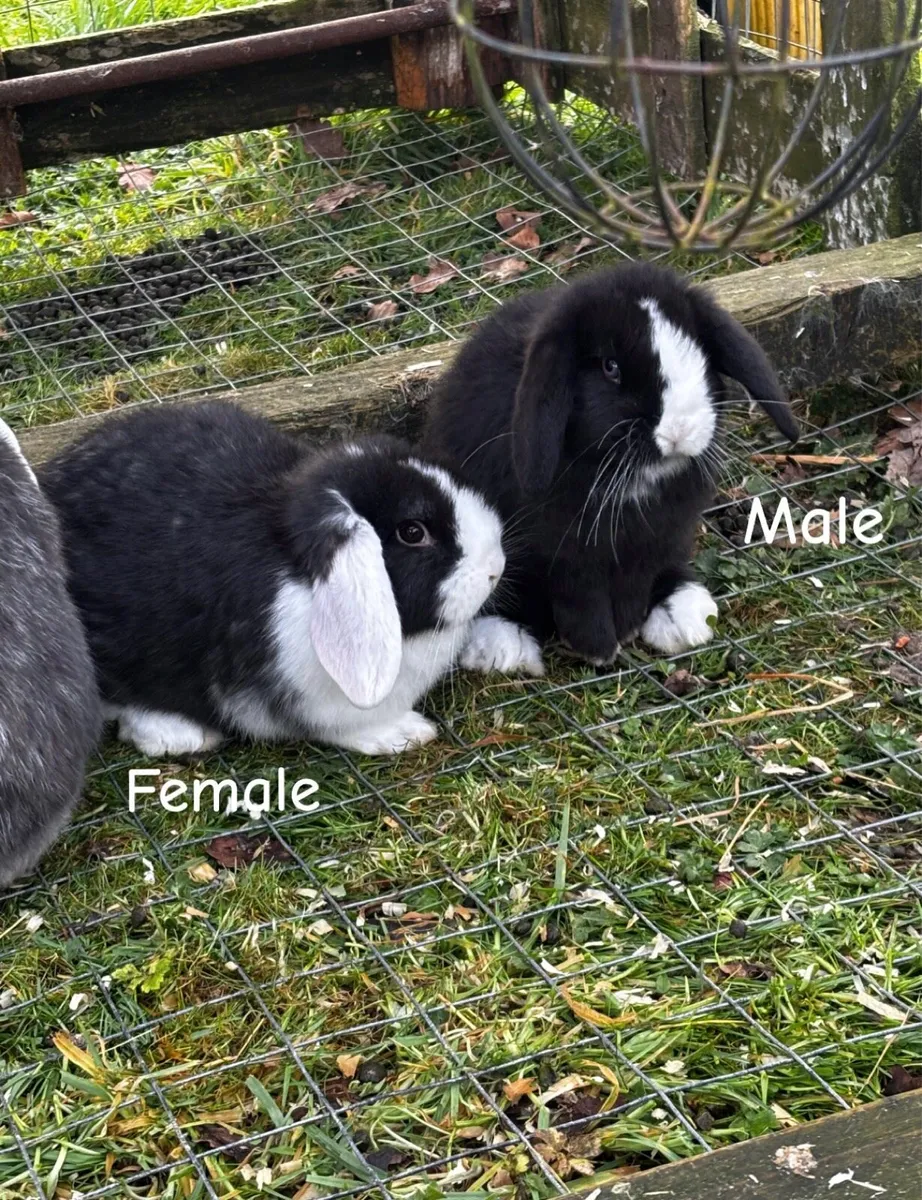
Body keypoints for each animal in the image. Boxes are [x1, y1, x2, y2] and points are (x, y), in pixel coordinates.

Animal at [40, 401, 543, 759]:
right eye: (413, 532)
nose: (496, 566)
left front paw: (509, 649)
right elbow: (343, 725)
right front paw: (403, 733)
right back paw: (178, 734)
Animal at [422, 262, 797, 666]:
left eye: (698, 352)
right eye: (610, 367)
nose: (679, 430)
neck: (632, 478)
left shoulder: (655, 539)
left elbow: (637, 582)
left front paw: (629, 627)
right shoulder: (565, 555)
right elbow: (580, 597)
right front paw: (598, 649)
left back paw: (682, 616)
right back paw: (504, 647)